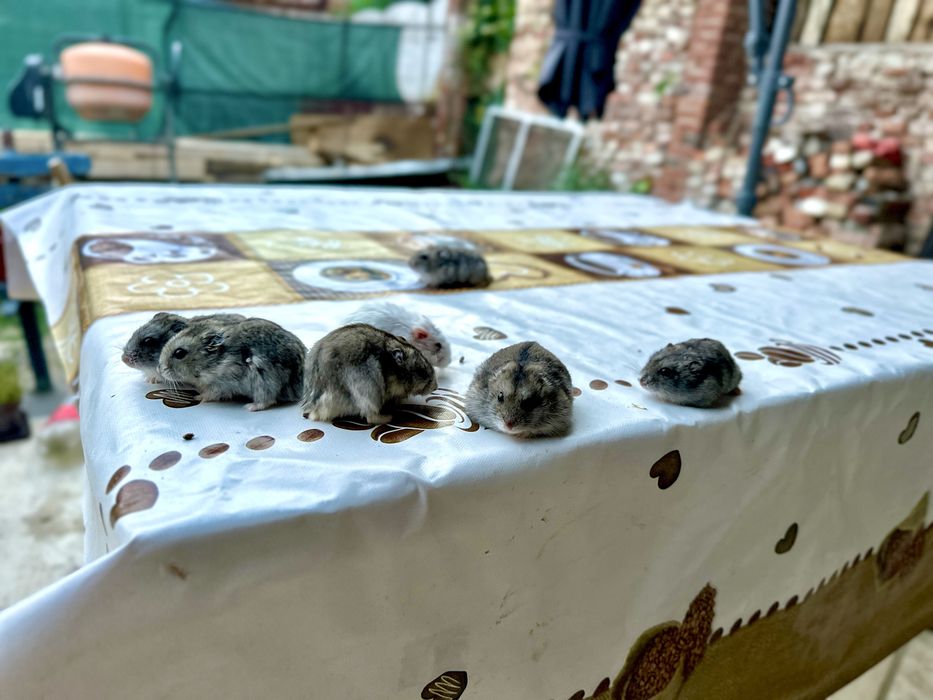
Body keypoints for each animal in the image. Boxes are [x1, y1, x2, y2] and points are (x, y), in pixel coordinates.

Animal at [158, 317, 306, 411]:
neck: (214, 363)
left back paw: (249, 407)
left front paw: (197, 396)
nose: (160, 369)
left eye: (179, 353)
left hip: (264, 383)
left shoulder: (219, 385)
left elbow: (209, 394)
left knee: (267, 401)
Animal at [301, 323, 437, 425]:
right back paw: (389, 417)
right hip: (369, 390)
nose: (435, 387)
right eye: (421, 372)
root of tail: (315, 408)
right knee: (371, 417)